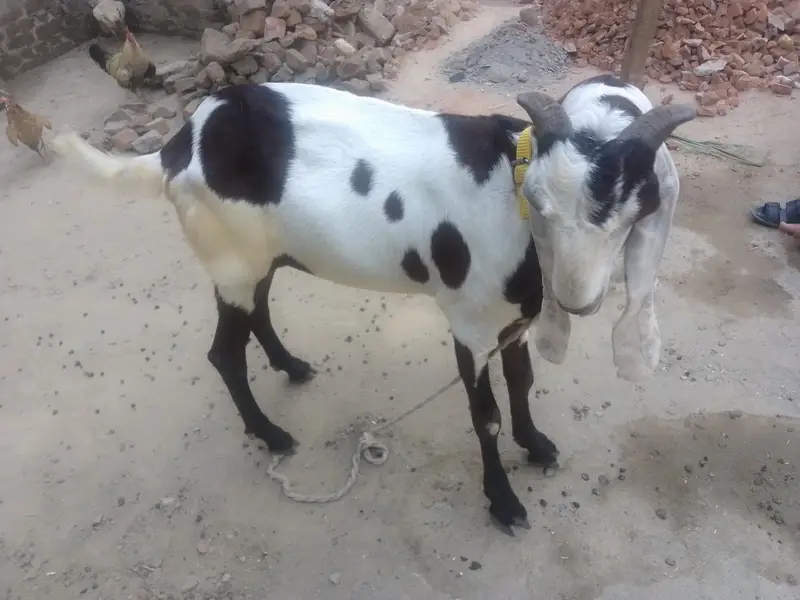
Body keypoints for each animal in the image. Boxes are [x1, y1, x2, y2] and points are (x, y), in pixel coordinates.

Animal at [51, 74, 695, 535]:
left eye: (637, 211)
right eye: (539, 202)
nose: (576, 299)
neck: (508, 201)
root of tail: (179, 146)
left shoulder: (512, 320)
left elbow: (523, 380)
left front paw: (536, 447)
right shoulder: (470, 322)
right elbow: (484, 415)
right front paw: (503, 502)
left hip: (262, 255)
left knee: (259, 310)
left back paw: (292, 367)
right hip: (229, 258)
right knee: (224, 354)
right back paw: (273, 435)